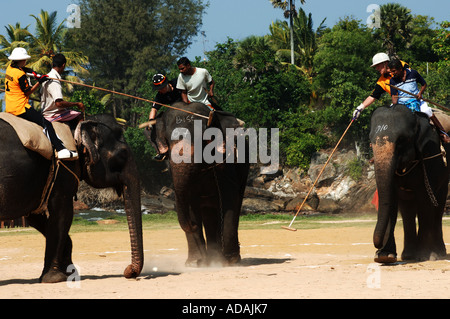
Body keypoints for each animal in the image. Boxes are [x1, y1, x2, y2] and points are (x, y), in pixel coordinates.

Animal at [0, 114, 142, 284]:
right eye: (122, 154)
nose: (129, 271)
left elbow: (36, 217)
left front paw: (70, 273)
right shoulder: (64, 171)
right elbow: (62, 214)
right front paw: (55, 278)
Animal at [152, 102, 250, 268]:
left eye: (202, 140)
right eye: (167, 142)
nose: (192, 226)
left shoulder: (227, 163)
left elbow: (229, 198)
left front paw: (229, 261)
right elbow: (190, 203)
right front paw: (194, 263)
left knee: (233, 204)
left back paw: (225, 258)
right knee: (209, 213)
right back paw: (212, 257)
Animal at [370, 104, 450, 264]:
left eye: (401, 140)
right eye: (370, 141)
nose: (377, 246)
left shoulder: (430, 155)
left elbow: (425, 200)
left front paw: (425, 256)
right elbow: (391, 200)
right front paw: (385, 257)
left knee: (438, 205)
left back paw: (438, 254)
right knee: (407, 209)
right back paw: (408, 255)